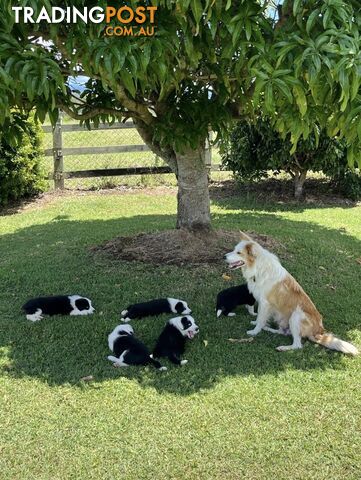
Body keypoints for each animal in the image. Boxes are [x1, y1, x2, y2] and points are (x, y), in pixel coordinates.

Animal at [225, 232, 358, 356]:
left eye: (238, 252)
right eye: (234, 249)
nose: (223, 256)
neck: (258, 269)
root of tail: (318, 331)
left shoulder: (265, 303)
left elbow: (260, 318)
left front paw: (254, 331)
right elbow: (260, 319)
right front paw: (257, 324)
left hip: (296, 316)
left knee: (297, 345)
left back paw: (283, 347)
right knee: (283, 332)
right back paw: (269, 329)